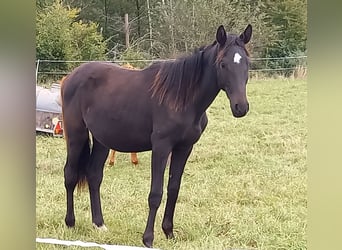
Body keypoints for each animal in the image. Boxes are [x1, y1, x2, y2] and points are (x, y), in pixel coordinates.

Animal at [61, 24, 252, 247]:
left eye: (247, 63)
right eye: (222, 64)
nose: (241, 107)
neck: (182, 98)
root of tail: (70, 77)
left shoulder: (184, 148)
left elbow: (173, 189)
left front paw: (169, 232)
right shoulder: (161, 147)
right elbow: (155, 194)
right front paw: (148, 239)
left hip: (102, 141)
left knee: (94, 176)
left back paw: (99, 224)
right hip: (76, 135)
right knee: (70, 174)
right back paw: (70, 223)